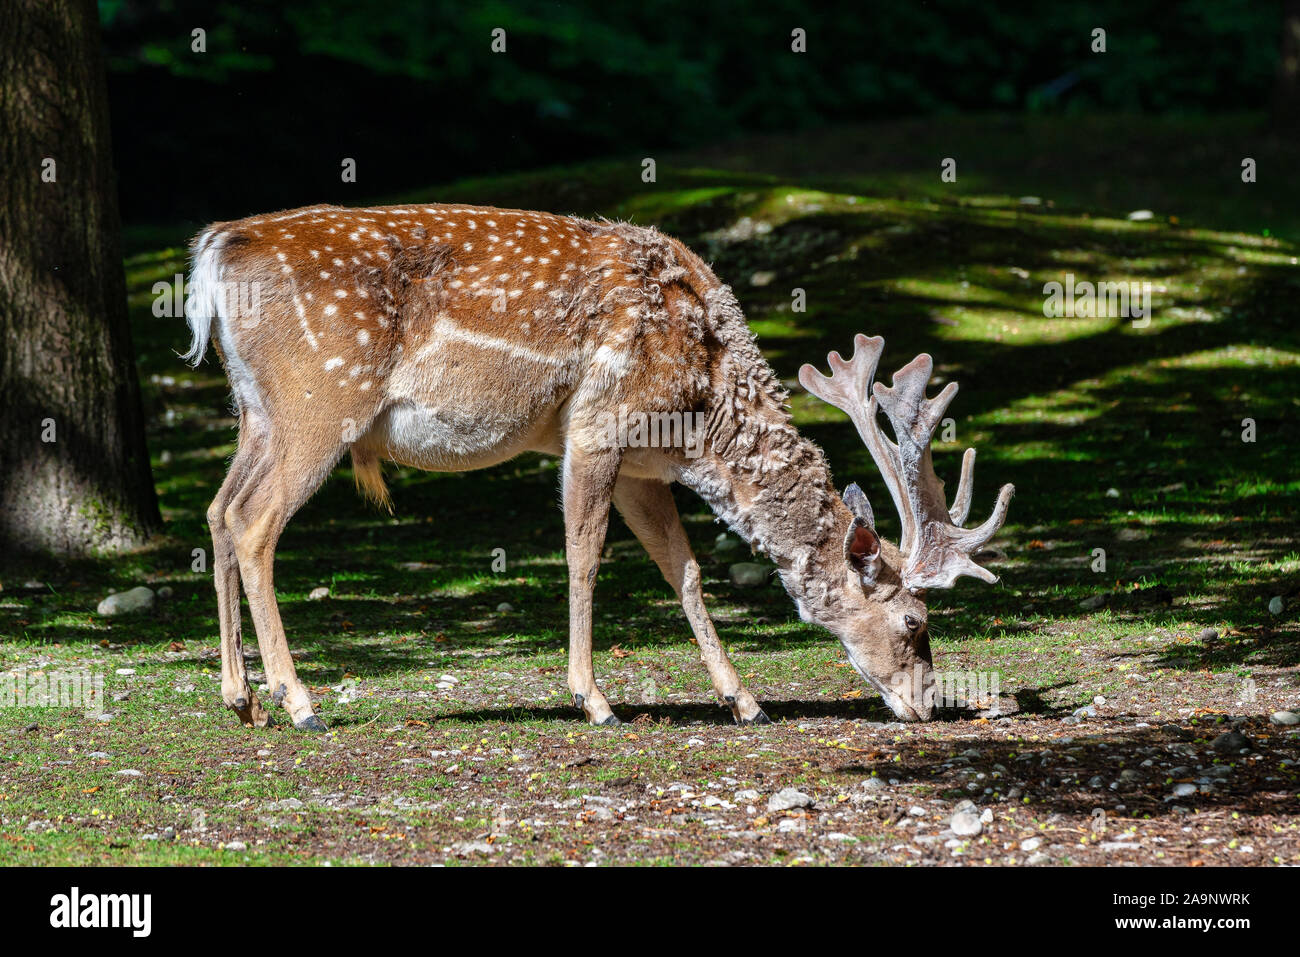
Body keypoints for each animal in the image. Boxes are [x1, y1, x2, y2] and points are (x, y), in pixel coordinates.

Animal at [183, 200, 1013, 722]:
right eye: (913, 620)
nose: (925, 702)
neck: (704, 410)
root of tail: (212, 254)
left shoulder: (648, 467)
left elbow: (685, 568)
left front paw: (743, 699)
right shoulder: (598, 424)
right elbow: (583, 555)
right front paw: (595, 699)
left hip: (256, 412)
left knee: (218, 510)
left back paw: (240, 697)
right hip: (319, 399)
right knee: (254, 522)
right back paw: (298, 700)